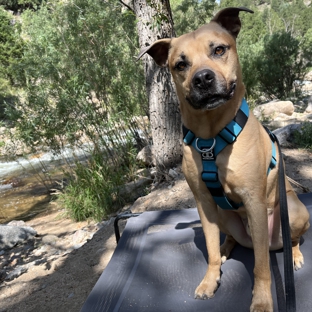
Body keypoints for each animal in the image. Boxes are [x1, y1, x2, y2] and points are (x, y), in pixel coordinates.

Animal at [138, 6, 310, 310]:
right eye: (180, 64)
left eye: (219, 49)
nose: (202, 78)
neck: (211, 136)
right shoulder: (204, 204)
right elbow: (208, 248)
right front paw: (210, 278)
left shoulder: (254, 201)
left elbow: (262, 266)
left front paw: (262, 300)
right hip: (225, 215)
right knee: (230, 239)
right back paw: (224, 251)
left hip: (294, 209)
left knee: (293, 241)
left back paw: (296, 255)